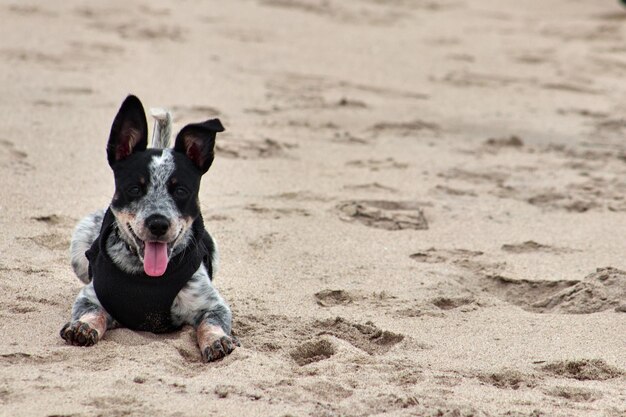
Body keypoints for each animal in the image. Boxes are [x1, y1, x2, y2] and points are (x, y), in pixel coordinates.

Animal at [61, 94, 238, 360]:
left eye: (181, 191)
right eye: (135, 188)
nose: (158, 223)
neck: (147, 278)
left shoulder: (213, 304)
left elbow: (211, 322)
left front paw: (216, 340)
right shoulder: (91, 296)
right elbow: (92, 311)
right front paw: (84, 326)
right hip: (80, 248)